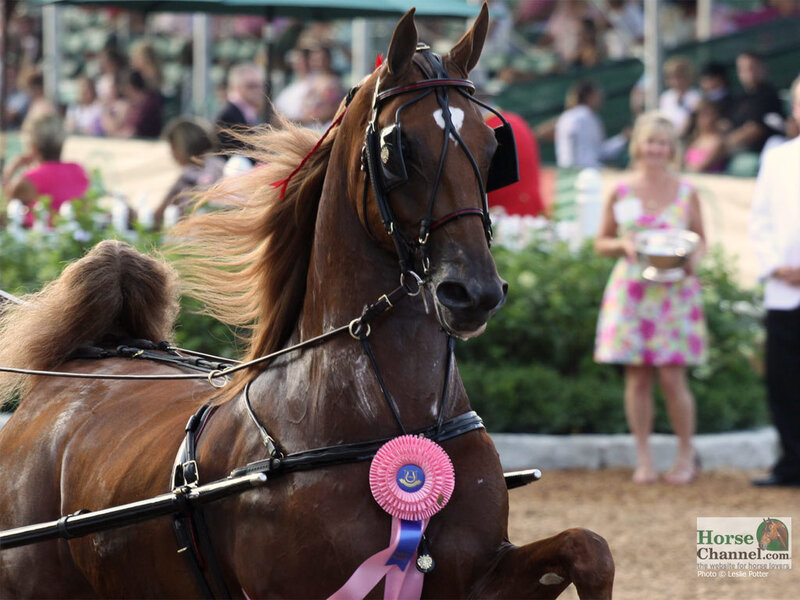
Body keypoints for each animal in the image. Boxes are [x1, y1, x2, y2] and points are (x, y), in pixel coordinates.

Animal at [0, 5, 614, 598]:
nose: (475, 292)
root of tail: (69, 372)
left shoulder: (476, 575)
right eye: (399, 149)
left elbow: (589, 548)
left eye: (491, 150)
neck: (388, 422)